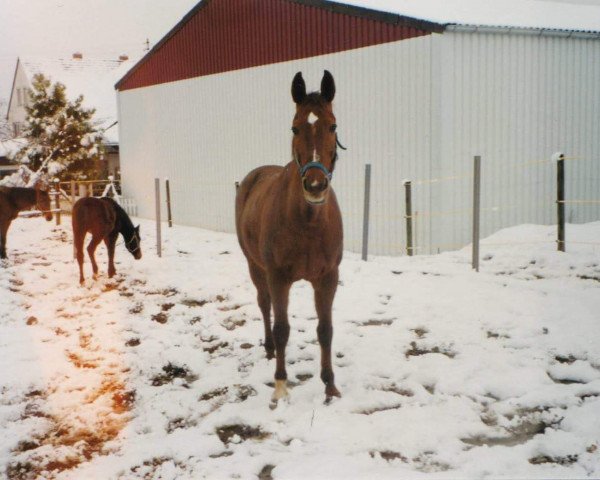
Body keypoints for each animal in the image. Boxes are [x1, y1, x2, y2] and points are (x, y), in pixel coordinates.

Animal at [237, 69, 344, 404]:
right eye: (295, 127)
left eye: (333, 125)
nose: (315, 186)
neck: (308, 223)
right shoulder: (278, 276)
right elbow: (282, 327)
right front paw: (281, 385)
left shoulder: (328, 277)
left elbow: (326, 330)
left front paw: (329, 385)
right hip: (256, 267)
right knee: (265, 306)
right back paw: (270, 350)